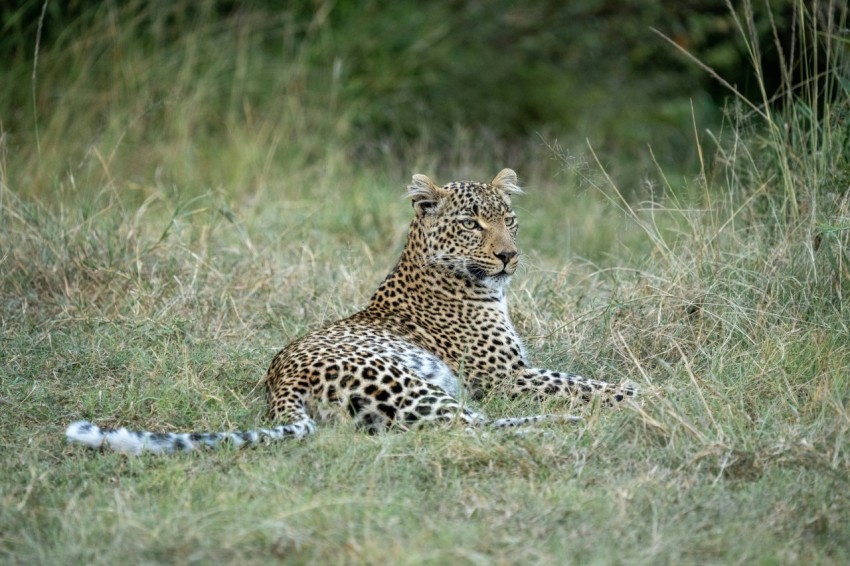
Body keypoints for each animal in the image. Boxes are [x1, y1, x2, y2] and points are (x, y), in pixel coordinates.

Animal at [66, 168, 637, 454]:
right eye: (472, 223)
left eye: (509, 219)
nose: (508, 256)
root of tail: (279, 382)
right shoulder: (504, 376)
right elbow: (583, 383)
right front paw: (639, 394)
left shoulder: (515, 372)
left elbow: (579, 378)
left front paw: (635, 390)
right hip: (409, 384)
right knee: (471, 428)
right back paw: (565, 427)